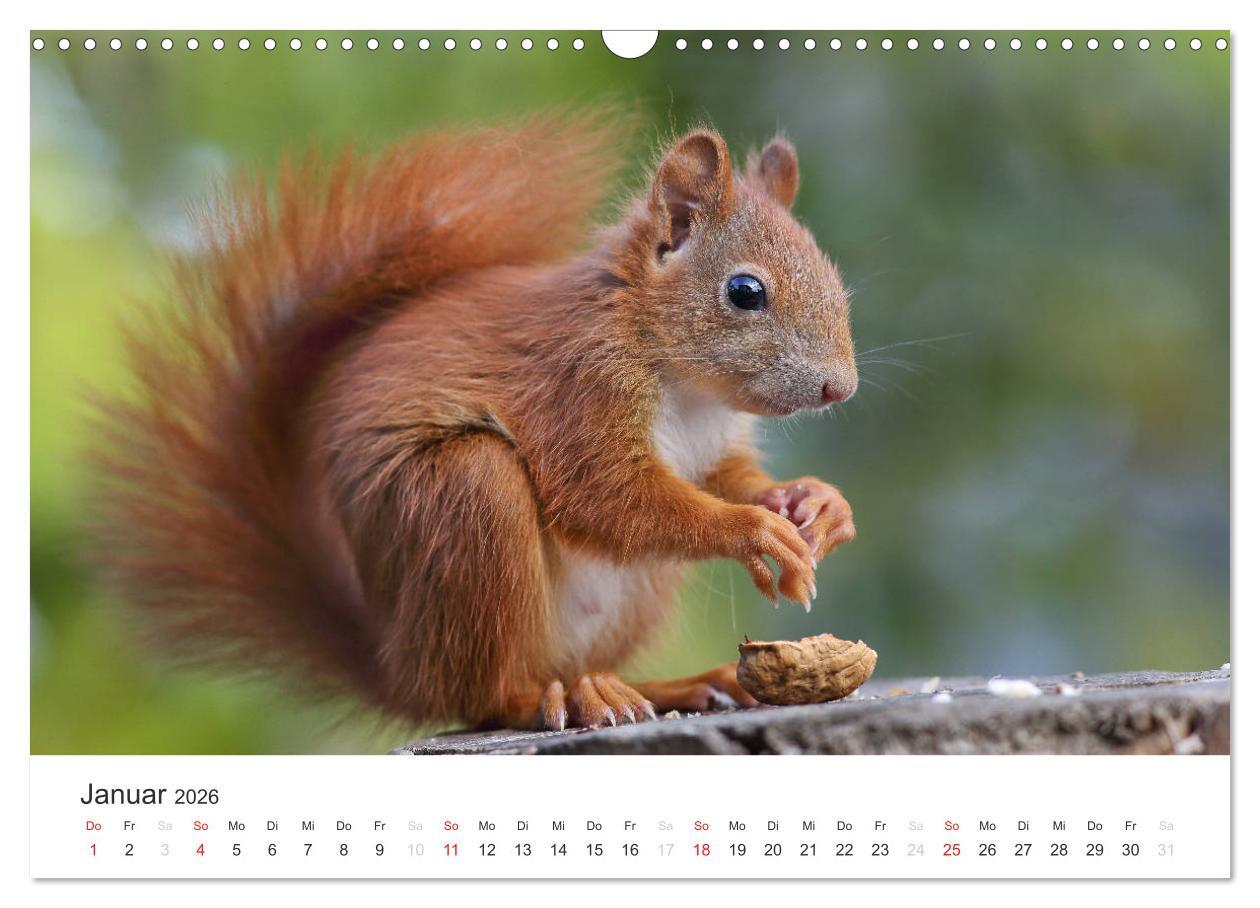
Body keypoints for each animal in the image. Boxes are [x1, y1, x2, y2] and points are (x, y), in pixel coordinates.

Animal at [94, 112, 858, 732]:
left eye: (835, 279)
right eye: (745, 291)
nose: (840, 387)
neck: (685, 382)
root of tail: (400, 666)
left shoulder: (710, 446)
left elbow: (730, 476)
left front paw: (815, 504)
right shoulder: (576, 390)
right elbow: (605, 497)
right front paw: (754, 530)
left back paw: (665, 686)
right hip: (463, 502)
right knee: (479, 695)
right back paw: (552, 699)